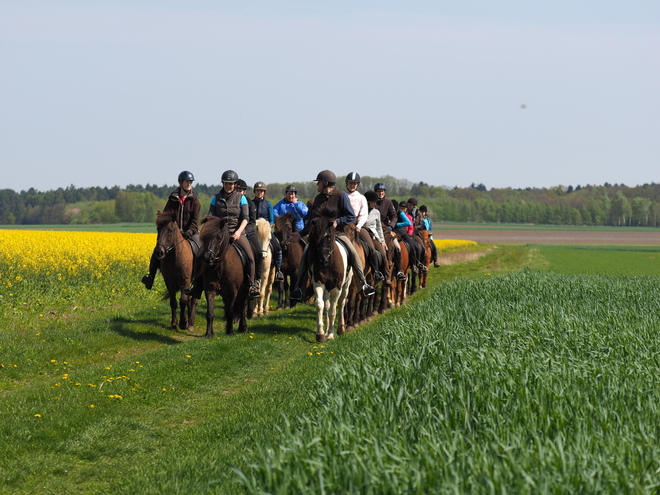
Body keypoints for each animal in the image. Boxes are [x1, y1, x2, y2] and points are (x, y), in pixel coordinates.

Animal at [306, 207, 354, 342]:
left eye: (328, 236)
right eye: (315, 236)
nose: (323, 261)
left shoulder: (336, 287)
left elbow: (333, 310)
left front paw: (331, 334)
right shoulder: (318, 284)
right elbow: (320, 306)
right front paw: (321, 334)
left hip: (346, 285)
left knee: (341, 303)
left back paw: (340, 329)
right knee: (327, 305)